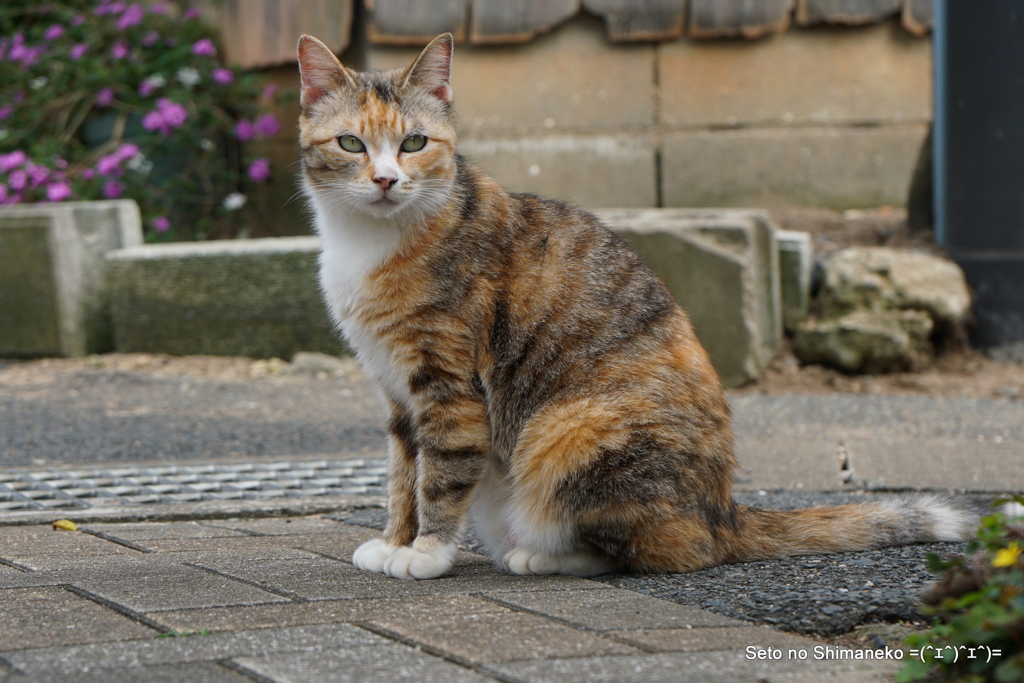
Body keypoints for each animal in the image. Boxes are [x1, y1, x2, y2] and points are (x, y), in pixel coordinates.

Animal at [296, 30, 1007, 577]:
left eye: (414, 143)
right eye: (352, 144)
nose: (387, 180)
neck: (373, 241)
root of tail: (724, 514)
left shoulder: (448, 387)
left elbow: (438, 477)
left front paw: (427, 553)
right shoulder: (396, 394)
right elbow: (401, 477)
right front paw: (394, 541)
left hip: (566, 433)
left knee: (655, 550)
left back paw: (543, 556)